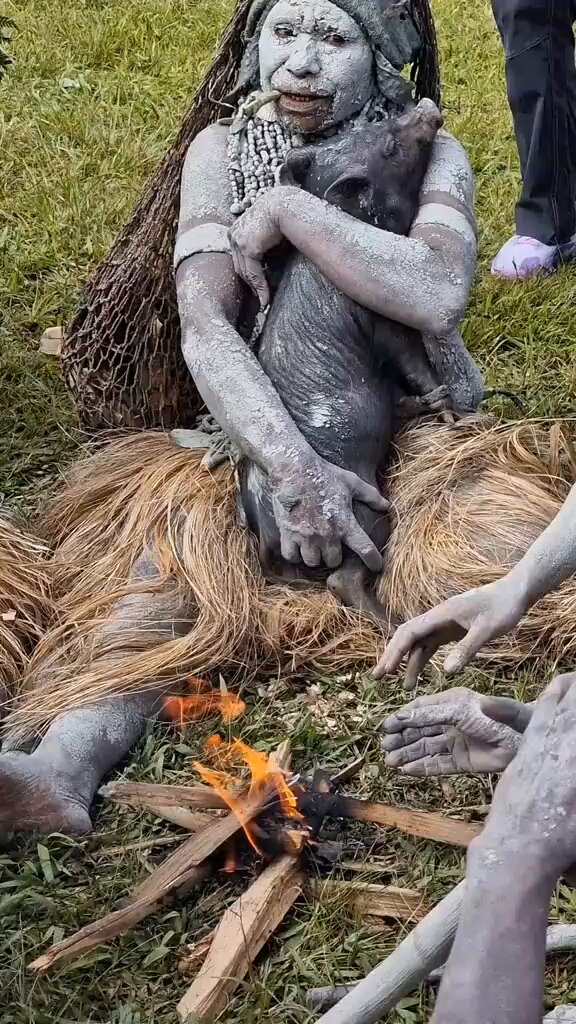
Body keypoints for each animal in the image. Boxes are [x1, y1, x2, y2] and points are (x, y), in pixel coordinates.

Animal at [240, 100, 446, 621]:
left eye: (373, 124)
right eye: (388, 146)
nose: (426, 105)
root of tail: (266, 539)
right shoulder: (383, 321)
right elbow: (412, 360)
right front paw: (445, 403)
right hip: (367, 509)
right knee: (343, 579)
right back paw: (397, 622)